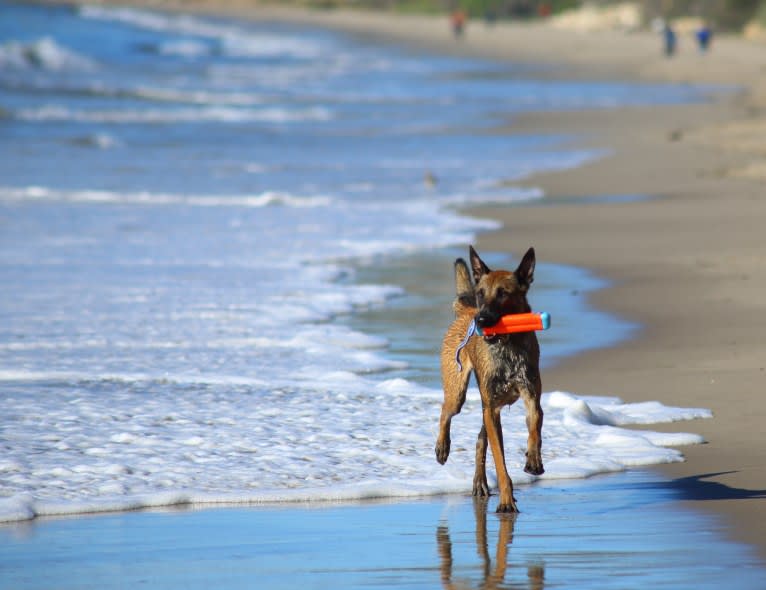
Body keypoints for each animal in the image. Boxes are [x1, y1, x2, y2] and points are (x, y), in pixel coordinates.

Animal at [436, 245, 544, 512]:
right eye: (481, 293)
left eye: (503, 293)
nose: (481, 320)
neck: (508, 346)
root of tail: (467, 312)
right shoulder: (493, 410)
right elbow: (500, 462)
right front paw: (506, 500)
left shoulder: (531, 397)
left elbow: (535, 424)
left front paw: (533, 459)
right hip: (460, 394)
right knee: (445, 411)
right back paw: (442, 447)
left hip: (487, 407)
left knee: (479, 439)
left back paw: (480, 483)